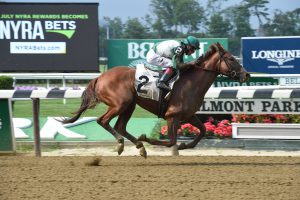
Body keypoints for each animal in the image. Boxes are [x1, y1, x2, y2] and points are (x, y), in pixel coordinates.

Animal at [62, 42, 250, 158]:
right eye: (231, 59)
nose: (246, 75)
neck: (191, 83)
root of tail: (99, 77)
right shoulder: (172, 116)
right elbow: (171, 140)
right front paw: (148, 138)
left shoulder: (188, 115)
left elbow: (203, 131)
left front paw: (184, 146)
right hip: (120, 103)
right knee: (103, 121)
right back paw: (123, 144)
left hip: (129, 105)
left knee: (120, 126)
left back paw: (140, 148)